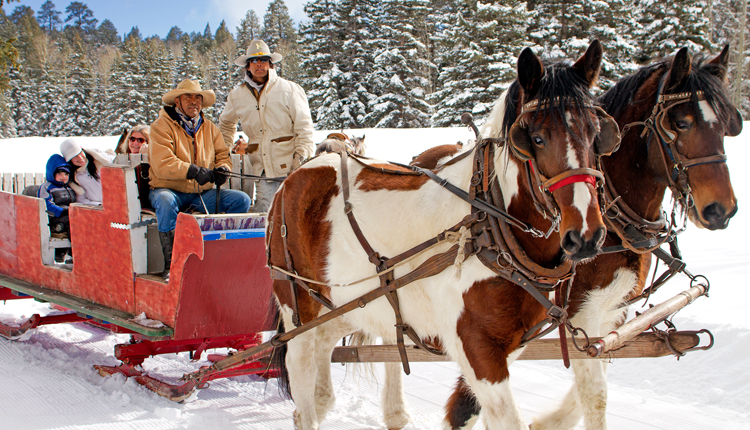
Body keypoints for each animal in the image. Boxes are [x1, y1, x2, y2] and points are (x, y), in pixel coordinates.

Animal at [268, 38, 620, 428]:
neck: (490, 227)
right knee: (301, 369)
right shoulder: (478, 349)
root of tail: (297, 174)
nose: (585, 235)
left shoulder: (511, 344)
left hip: (347, 304)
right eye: (536, 139)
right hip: (298, 304)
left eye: (597, 134)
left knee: (323, 355)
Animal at [444, 44, 744, 430]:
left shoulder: (611, 314)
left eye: (726, 124)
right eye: (680, 123)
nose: (722, 210)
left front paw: (546, 422)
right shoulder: (577, 315)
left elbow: (591, 382)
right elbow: (592, 392)